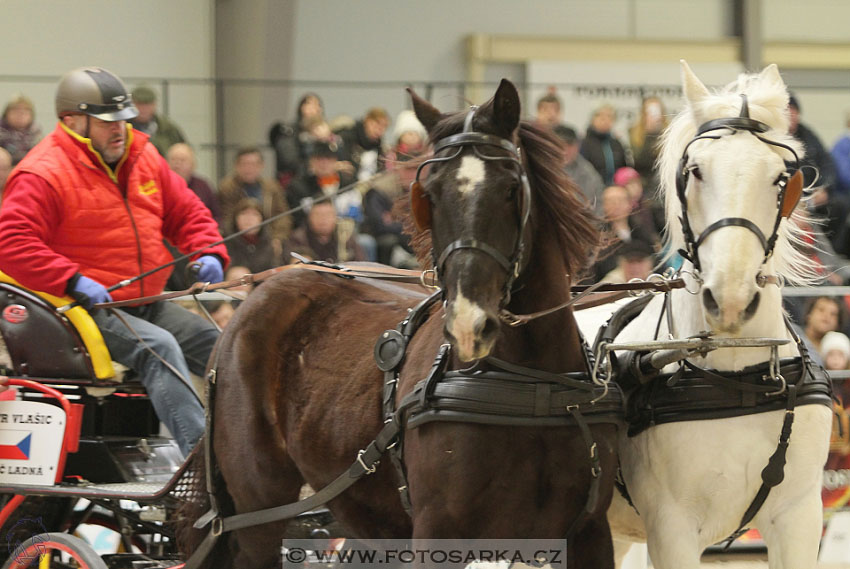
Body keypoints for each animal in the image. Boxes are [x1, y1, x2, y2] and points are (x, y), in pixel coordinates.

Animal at [184, 81, 616, 568]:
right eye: (429, 194)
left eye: (511, 189)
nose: (468, 325)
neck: (531, 386)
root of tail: (256, 294)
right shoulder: (438, 533)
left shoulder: (590, 535)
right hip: (258, 506)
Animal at [576, 62, 828, 568]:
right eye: (695, 171)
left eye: (781, 178)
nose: (729, 299)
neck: (739, 376)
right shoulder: (671, 528)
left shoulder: (799, 516)